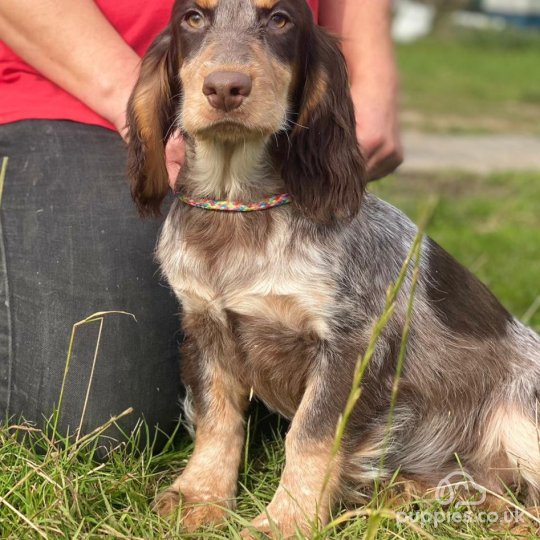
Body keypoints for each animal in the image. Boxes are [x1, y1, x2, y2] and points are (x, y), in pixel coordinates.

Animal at [126, 2, 540, 536]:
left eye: (280, 20)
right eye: (193, 18)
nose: (225, 88)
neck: (240, 206)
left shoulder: (349, 348)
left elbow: (309, 437)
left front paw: (285, 520)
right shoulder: (204, 328)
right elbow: (217, 419)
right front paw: (201, 494)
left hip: (520, 417)